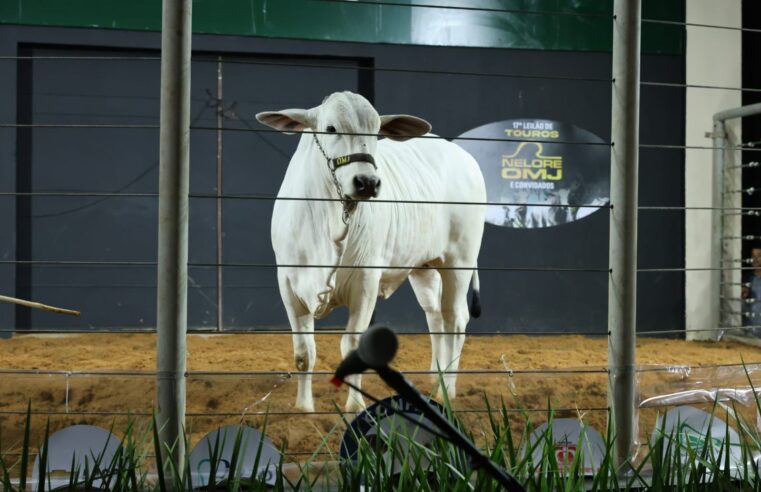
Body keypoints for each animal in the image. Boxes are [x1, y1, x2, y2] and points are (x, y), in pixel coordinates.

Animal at [256, 91, 486, 412]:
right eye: (330, 128)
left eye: (376, 131)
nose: (367, 182)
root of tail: (463, 156)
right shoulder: (288, 284)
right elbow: (304, 354)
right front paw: (304, 409)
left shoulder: (365, 281)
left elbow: (352, 346)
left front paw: (354, 407)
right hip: (424, 269)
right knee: (436, 316)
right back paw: (436, 377)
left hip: (459, 261)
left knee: (455, 319)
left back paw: (446, 392)